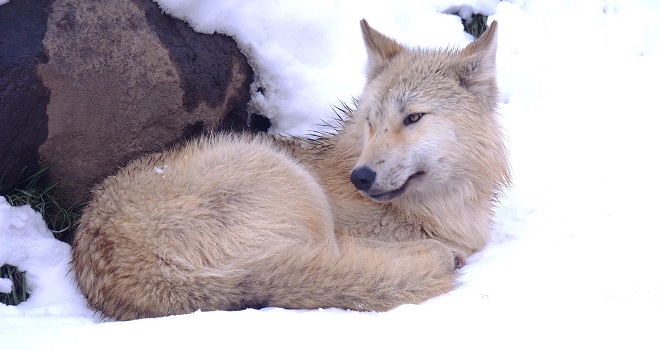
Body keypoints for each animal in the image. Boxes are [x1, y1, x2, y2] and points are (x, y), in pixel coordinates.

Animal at [72, 19, 508, 320]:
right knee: (334, 263)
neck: (439, 208)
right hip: (290, 181)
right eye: (371, 122)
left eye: (413, 117)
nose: (360, 177)